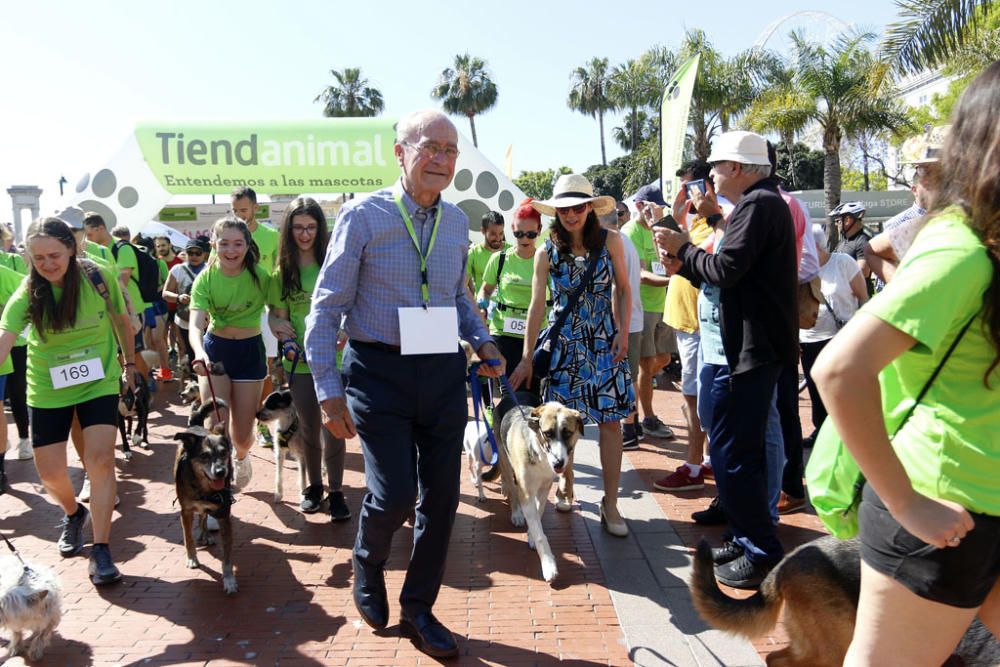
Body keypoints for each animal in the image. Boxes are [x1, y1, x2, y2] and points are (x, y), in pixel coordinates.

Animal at [175, 400, 237, 596]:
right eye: (204, 456)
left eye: (224, 453)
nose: (220, 472)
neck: (205, 489)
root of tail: (197, 425)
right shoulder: (185, 512)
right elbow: (188, 538)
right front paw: (192, 559)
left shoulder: (224, 516)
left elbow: (227, 558)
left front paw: (229, 580)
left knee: (203, 517)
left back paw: (206, 535)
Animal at [498, 402, 584, 584]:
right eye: (547, 433)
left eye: (568, 433)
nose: (558, 463)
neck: (541, 455)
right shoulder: (526, 493)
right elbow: (540, 534)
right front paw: (549, 565)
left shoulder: (544, 488)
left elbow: (539, 513)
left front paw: (531, 535)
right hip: (505, 460)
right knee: (511, 487)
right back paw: (516, 513)